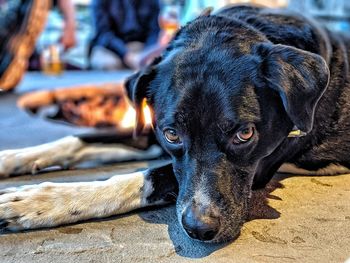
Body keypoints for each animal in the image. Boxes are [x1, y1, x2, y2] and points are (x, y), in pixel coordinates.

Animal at [0, 5, 350, 243]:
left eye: (245, 134)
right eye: (172, 134)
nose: (200, 228)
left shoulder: (263, 163)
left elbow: (147, 177)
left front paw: (40, 202)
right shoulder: (150, 131)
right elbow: (78, 141)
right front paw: (12, 158)